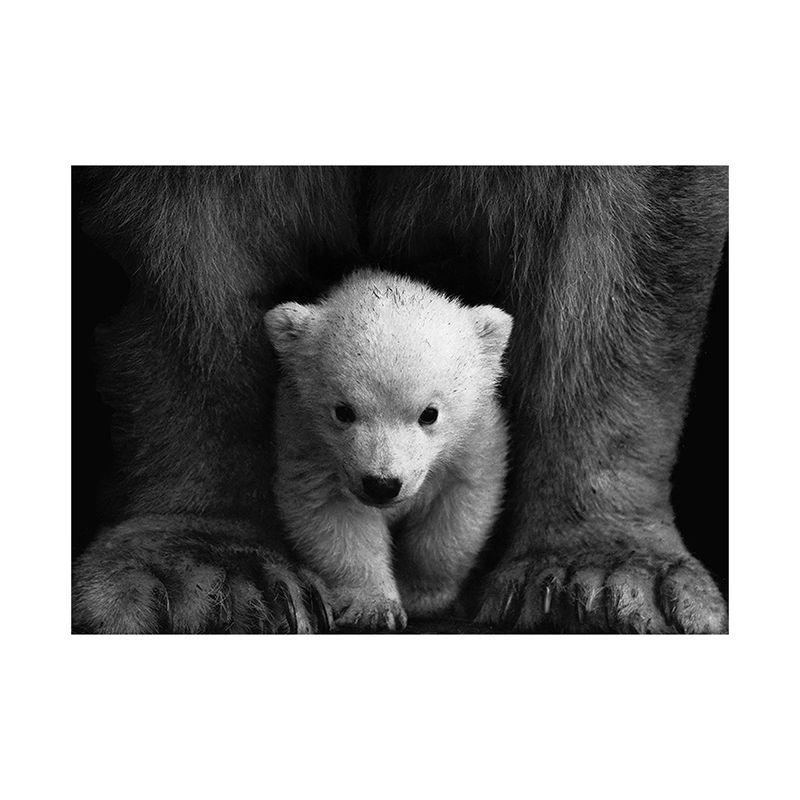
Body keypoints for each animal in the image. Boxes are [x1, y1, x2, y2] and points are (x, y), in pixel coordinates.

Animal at [264, 269, 513, 631]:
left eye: (429, 413)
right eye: (343, 411)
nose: (382, 484)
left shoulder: (474, 442)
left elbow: (456, 512)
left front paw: (422, 595)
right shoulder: (307, 444)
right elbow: (334, 517)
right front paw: (374, 608)